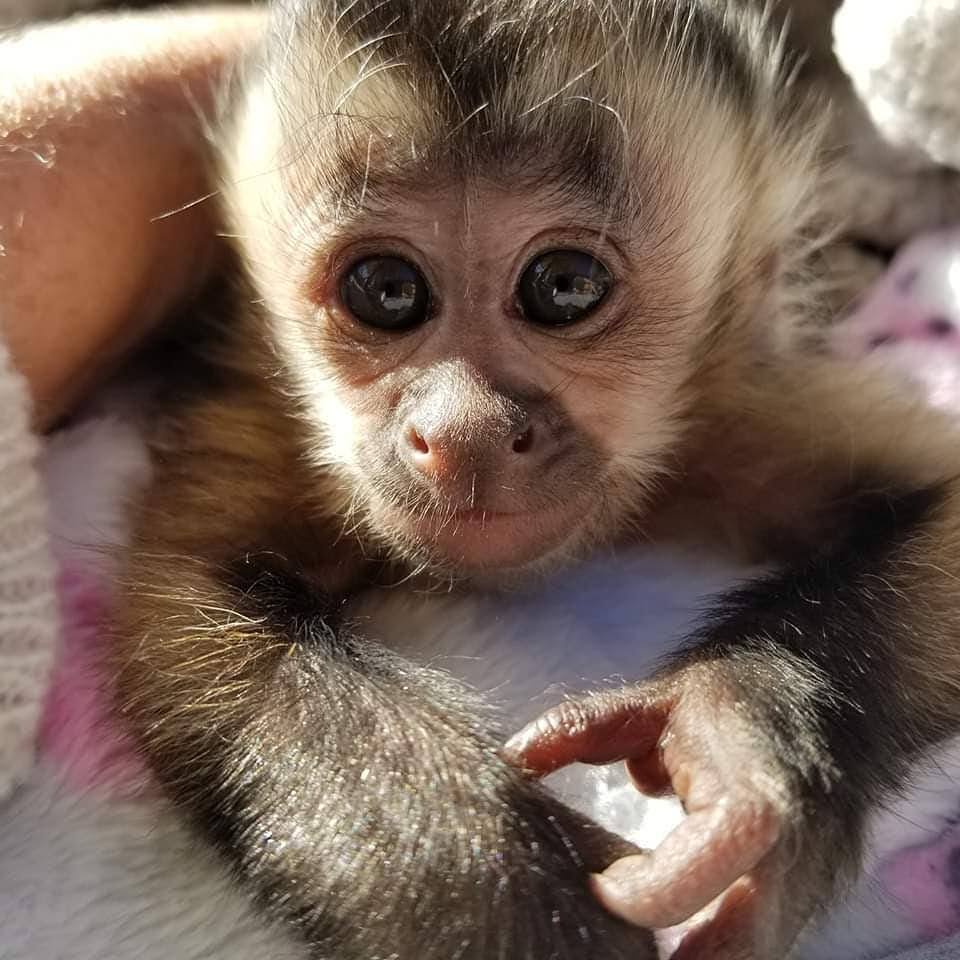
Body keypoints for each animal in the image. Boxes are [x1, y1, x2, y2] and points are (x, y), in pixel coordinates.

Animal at [109, 0, 960, 958]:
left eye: (564, 285)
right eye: (385, 289)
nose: (463, 432)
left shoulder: (734, 412)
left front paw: (732, 728)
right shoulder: (268, 422)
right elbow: (191, 607)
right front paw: (491, 874)